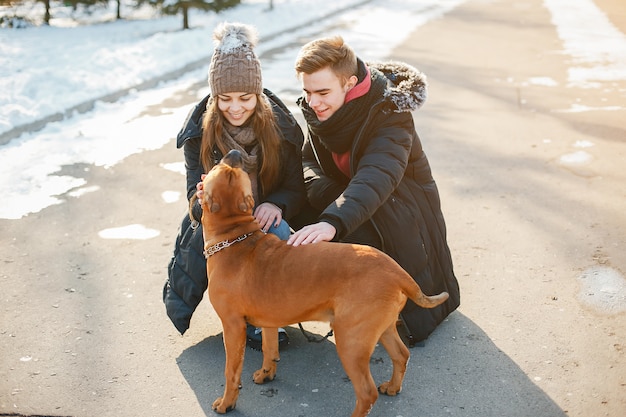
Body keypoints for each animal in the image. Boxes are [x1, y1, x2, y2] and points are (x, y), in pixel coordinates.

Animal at [197, 150, 446, 416]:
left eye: (220, 167)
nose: (234, 153)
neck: (235, 235)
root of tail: (397, 271)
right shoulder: (269, 322)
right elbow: (269, 349)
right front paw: (266, 374)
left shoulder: (233, 327)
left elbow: (231, 372)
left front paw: (226, 403)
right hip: (383, 328)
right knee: (401, 355)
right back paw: (392, 386)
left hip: (350, 341)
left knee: (366, 393)